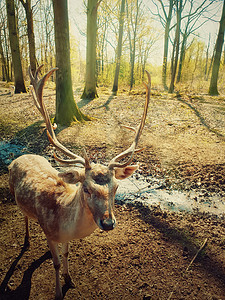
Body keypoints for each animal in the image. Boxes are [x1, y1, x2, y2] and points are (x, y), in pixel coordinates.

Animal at [7, 66, 150, 300]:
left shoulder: (64, 238)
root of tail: (21, 156)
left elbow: (66, 254)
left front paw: (70, 279)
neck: (64, 223)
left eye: (116, 187)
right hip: (13, 193)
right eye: (86, 188)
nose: (108, 223)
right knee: (25, 216)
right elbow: (55, 263)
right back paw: (26, 240)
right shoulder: (49, 231)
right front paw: (58, 292)